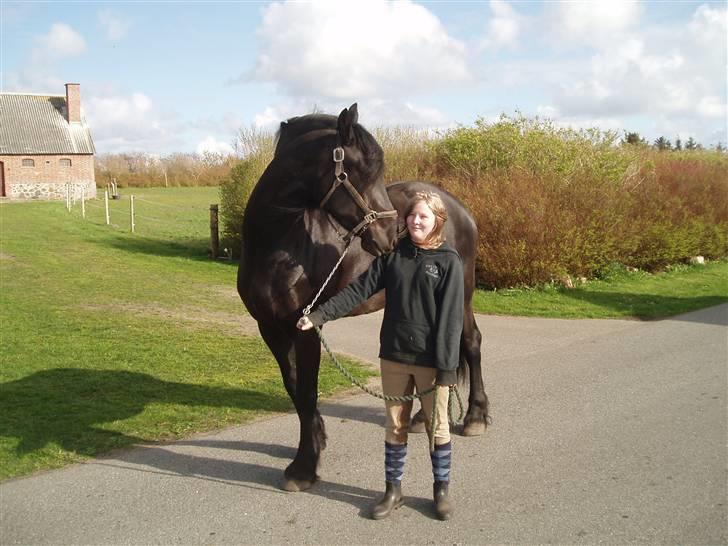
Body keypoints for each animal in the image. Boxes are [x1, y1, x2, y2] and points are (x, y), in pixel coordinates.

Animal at [239, 104, 490, 490]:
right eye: (361, 171)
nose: (391, 234)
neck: (278, 244)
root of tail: (456, 207)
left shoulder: (305, 326)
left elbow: (307, 390)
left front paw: (304, 467)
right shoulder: (269, 327)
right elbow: (294, 388)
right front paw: (315, 442)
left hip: (460, 294)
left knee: (471, 343)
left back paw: (476, 416)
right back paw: (423, 418)